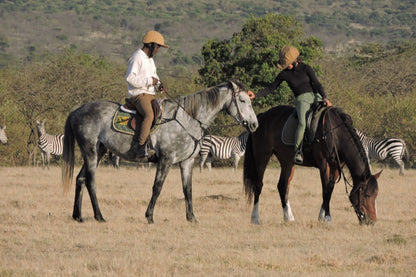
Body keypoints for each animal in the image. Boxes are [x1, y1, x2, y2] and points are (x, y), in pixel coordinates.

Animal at [62, 79, 256, 222]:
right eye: (242, 100)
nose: (254, 124)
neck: (187, 119)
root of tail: (78, 110)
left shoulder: (187, 162)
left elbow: (188, 189)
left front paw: (191, 218)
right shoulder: (166, 159)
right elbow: (157, 187)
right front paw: (149, 216)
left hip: (99, 151)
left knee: (80, 179)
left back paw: (78, 216)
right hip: (91, 152)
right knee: (90, 181)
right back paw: (99, 216)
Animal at [242, 105, 382, 224]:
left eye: (376, 195)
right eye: (367, 195)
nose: (372, 221)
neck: (335, 134)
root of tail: (262, 116)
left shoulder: (337, 168)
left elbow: (329, 189)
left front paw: (322, 216)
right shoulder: (324, 165)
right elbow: (325, 190)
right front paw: (327, 217)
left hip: (287, 162)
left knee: (283, 186)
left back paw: (288, 217)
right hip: (262, 156)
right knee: (258, 185)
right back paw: (255, 218)